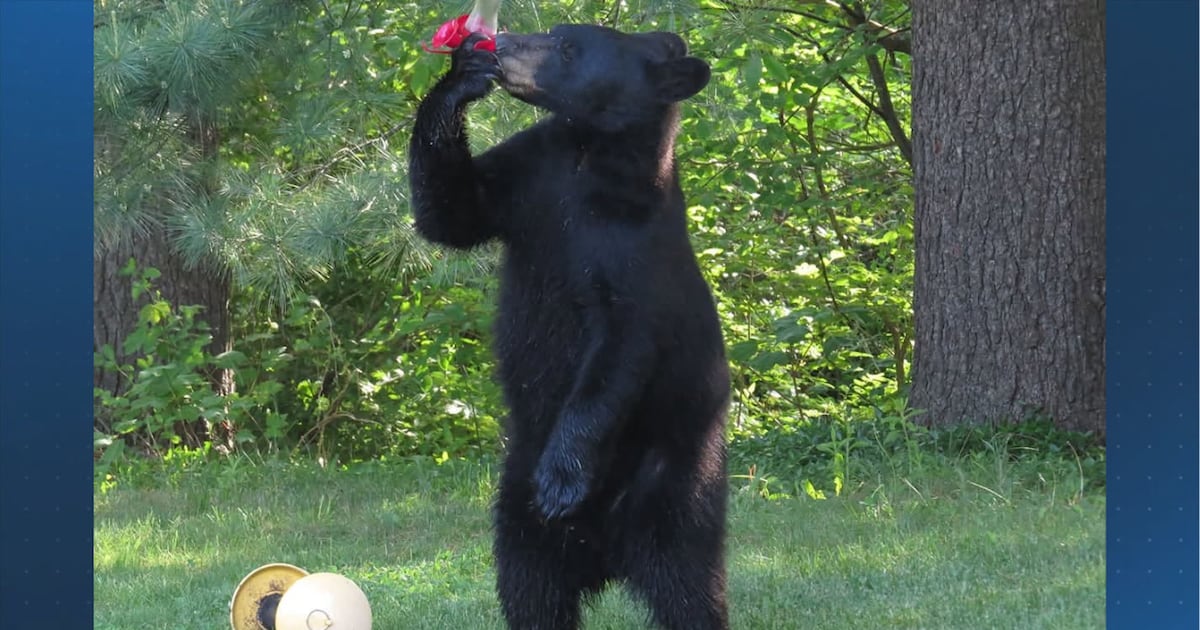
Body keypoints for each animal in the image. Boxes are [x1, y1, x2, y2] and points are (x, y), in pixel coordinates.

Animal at [407, 24, 731, 630]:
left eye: (568, 48)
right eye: (557, 33)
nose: (505, 44)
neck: (590, 158)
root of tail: (605, 556)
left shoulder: (635, 254)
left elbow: (618, 352)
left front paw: (562, 478)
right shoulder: (528, 179)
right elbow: (453, 213)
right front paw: (462, 75)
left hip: (678, 490)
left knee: (689, 588)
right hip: (515, 505)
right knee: (529, 587)